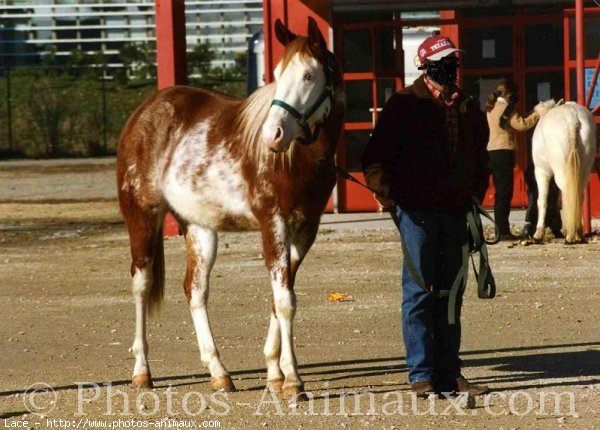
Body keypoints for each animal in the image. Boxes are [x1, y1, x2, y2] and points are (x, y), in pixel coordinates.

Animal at [116, 17, 344, 400]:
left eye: (309, 75)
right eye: (278, 73)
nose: (273, 135)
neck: (294, 162)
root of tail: (144, 111)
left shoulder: (304, 231)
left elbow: (278, 298)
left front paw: (274, 375)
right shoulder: (273, 225)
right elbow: (285, 301)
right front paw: (293, 382)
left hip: (199, 228)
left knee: (195, 290)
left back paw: (219, 372)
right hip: (142, 218)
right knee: (141, 286)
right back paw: (141, 371)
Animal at [536, 98, 596, 244]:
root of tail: (572, 118)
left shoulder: (541, 171)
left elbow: (542, 200)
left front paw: (538, 233)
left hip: (561, 172)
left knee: (566, 193)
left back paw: (570, 235)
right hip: (584, 171)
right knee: (578, 195)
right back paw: (578, 233)